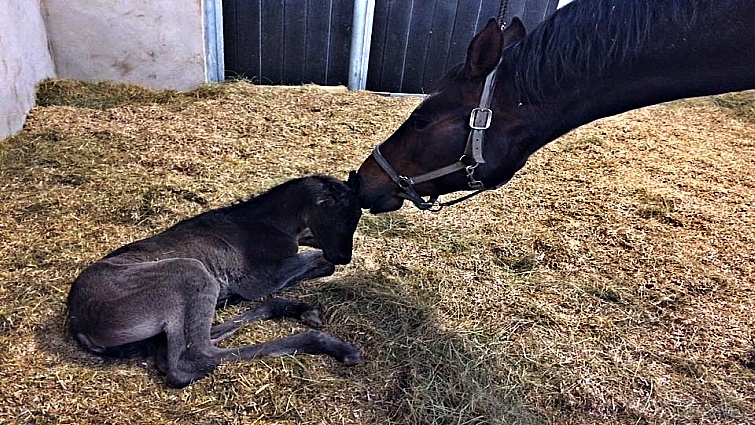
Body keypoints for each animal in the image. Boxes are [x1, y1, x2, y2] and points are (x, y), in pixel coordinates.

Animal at [67, 174, 364, 388]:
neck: (271, 223)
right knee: (192, 360)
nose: (344, 256)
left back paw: (297, 309)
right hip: (192, 272)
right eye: (339, 219)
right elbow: (320, 261)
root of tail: (79, 322)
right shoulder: (258, 280)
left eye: (357, 218)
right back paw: (334, 345)